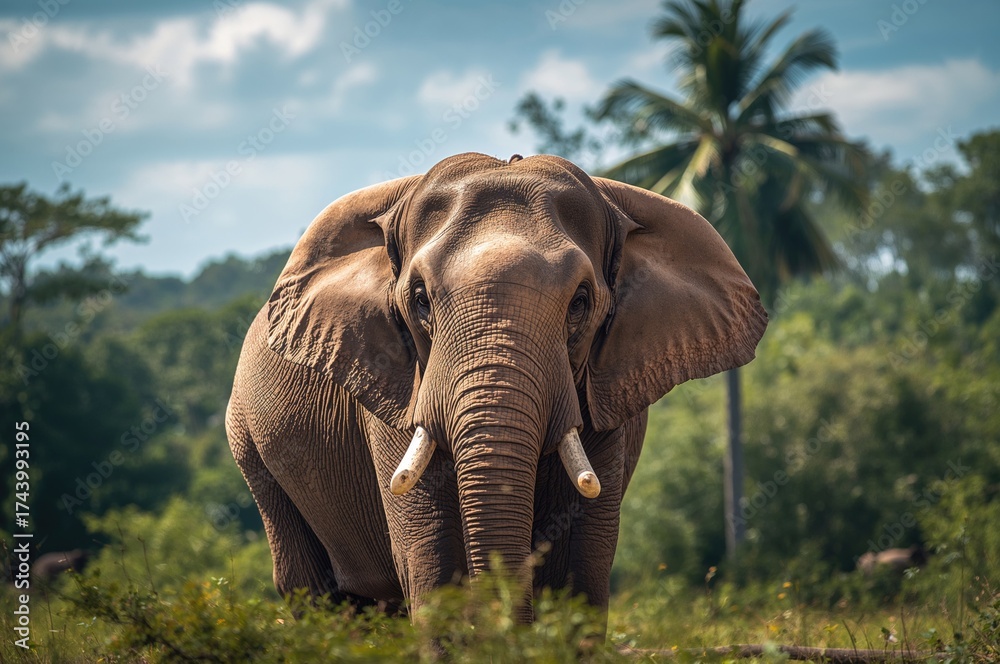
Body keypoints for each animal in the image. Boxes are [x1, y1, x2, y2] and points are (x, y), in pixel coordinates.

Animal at [225, 152, 767, 623]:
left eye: (581, 302)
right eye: (419, 300)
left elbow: (579, 566)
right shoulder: (396, 384)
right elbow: (431, 560)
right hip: (250, 446)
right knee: (311, 590)